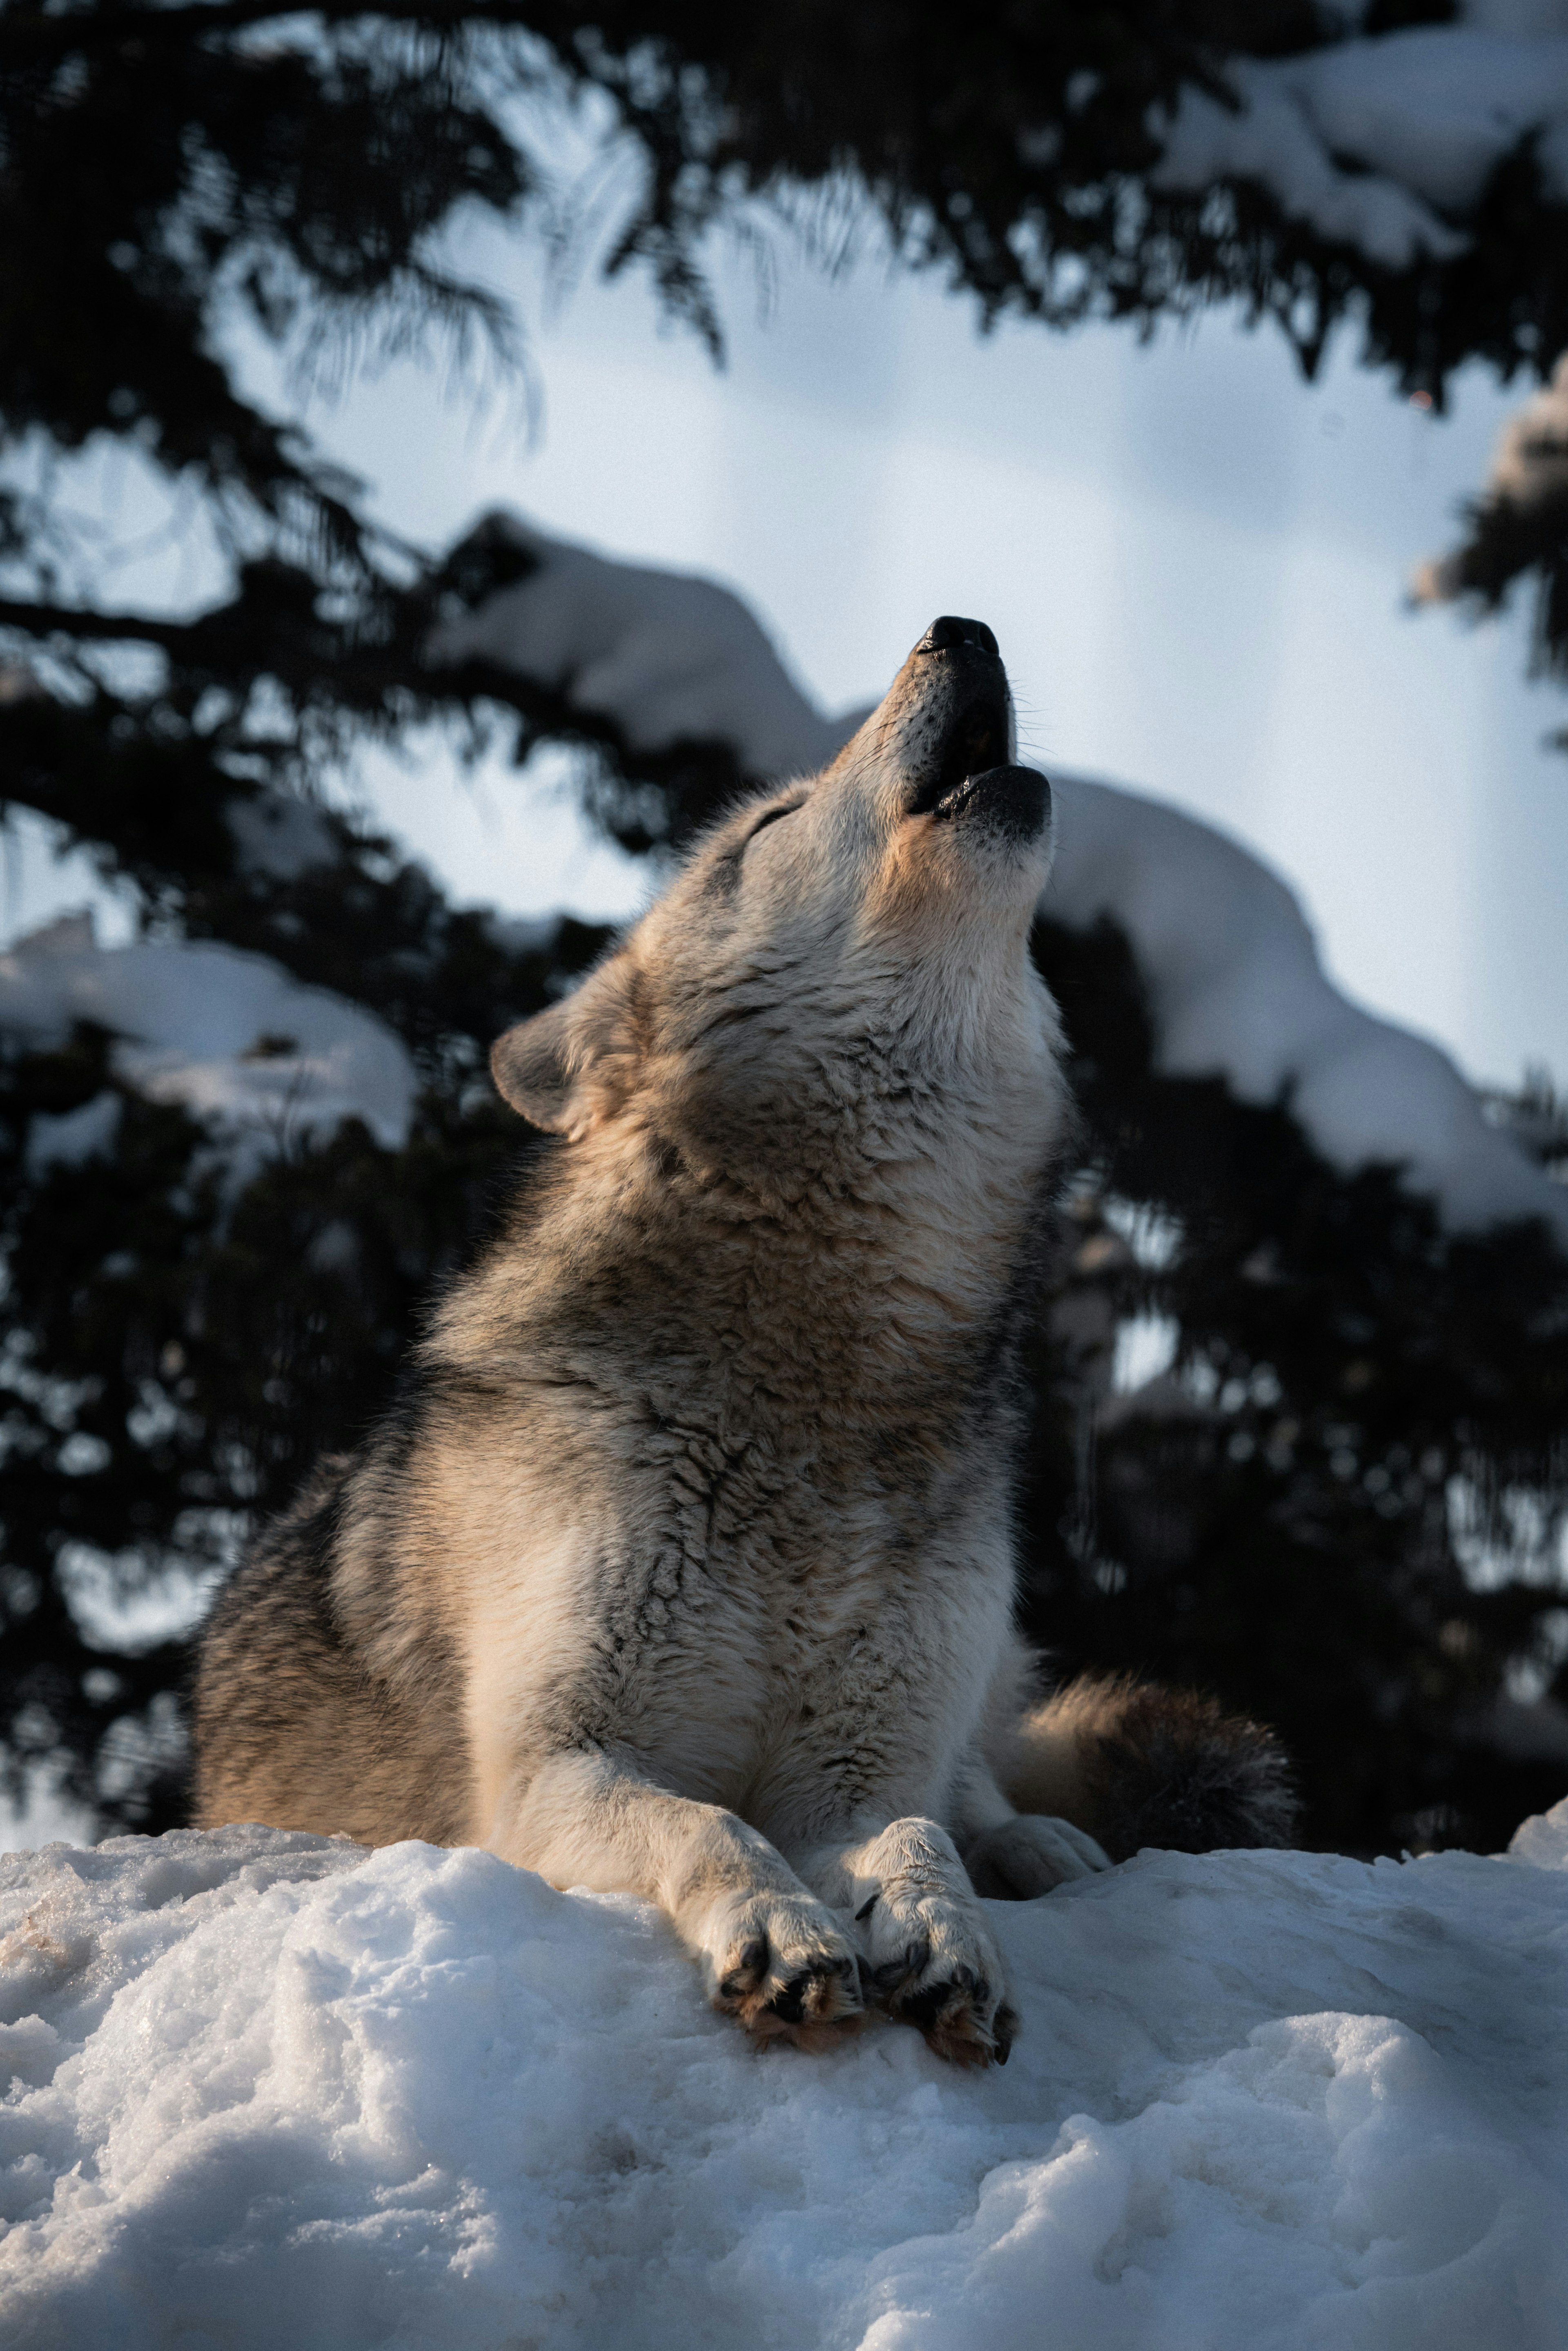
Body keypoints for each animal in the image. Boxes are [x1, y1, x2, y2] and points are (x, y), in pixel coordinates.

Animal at [196, 616, 1297, 2069]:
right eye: (770, 824)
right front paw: (780, 1929)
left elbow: (914, 1832)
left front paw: (946, 1933)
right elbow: (704, 1818)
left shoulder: (858, 1772)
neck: (812, 1389)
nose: (961, 627)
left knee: (984, 1782)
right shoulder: (550, 1765)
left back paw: (1045, 1848)